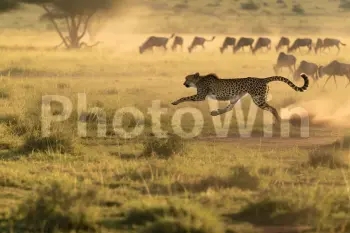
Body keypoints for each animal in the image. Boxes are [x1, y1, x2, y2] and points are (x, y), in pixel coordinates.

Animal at [172, 73, 308, 124]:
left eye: (187, 78)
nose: (184, 83)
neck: (199, 80)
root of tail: (262, 79)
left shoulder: (200, 96)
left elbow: (185, 97)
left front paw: (175, 102)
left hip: (258, 99)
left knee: (272, 108)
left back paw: (278, 121)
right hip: (238, 97)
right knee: (229, 107)